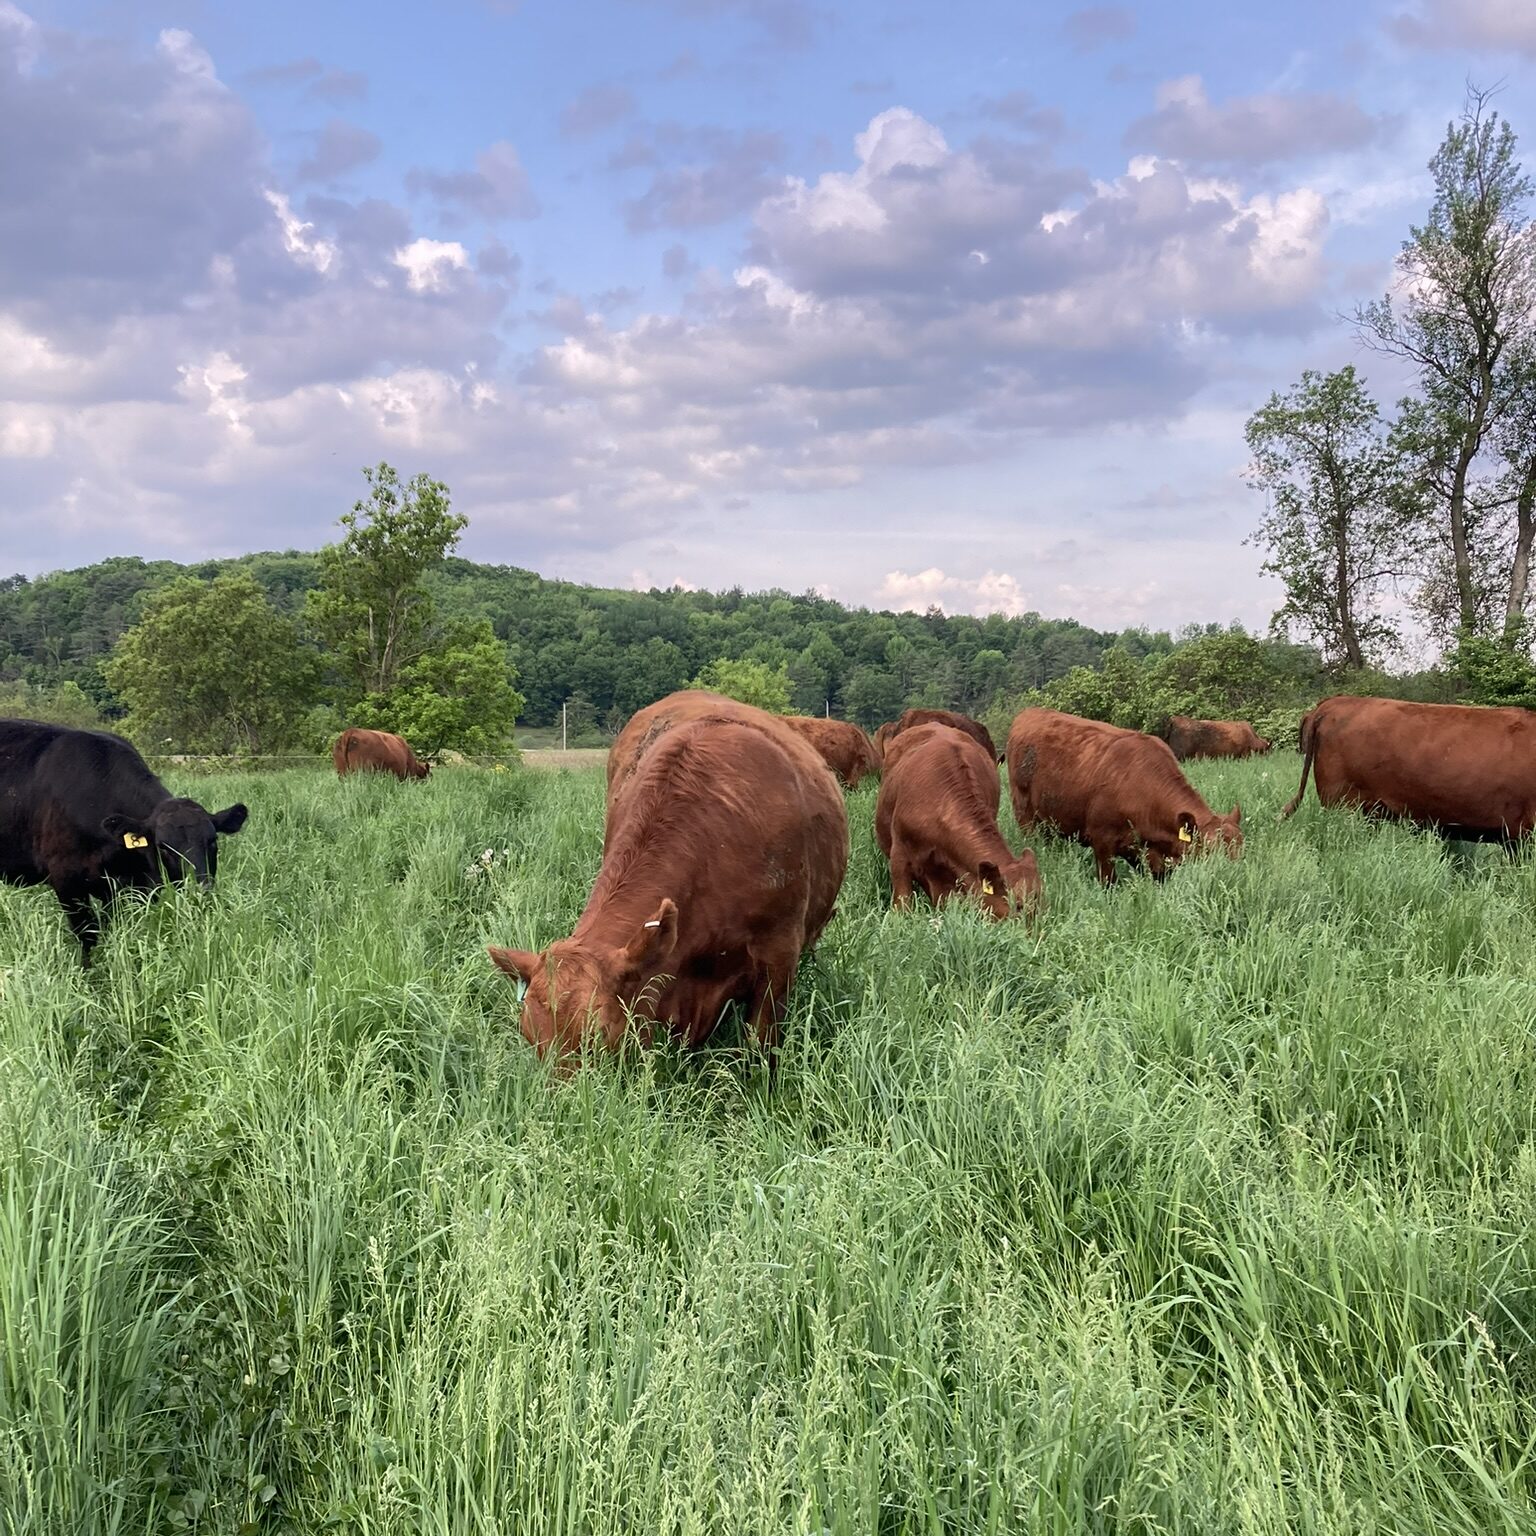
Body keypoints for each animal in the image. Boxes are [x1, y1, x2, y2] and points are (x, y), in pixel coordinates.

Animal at [0, 719, 248, 962]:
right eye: (163, 847)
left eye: (213, 841)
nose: (199, 891)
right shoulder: (66, 880)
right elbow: (88, 935)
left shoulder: (133, 886)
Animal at [1007, 707, 1242, 883]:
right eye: (1210, 852)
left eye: (1241, 849)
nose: (1233, 879)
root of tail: (1028, 713)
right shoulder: (1102, 843)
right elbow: (1108, 882)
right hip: (1024, 814)